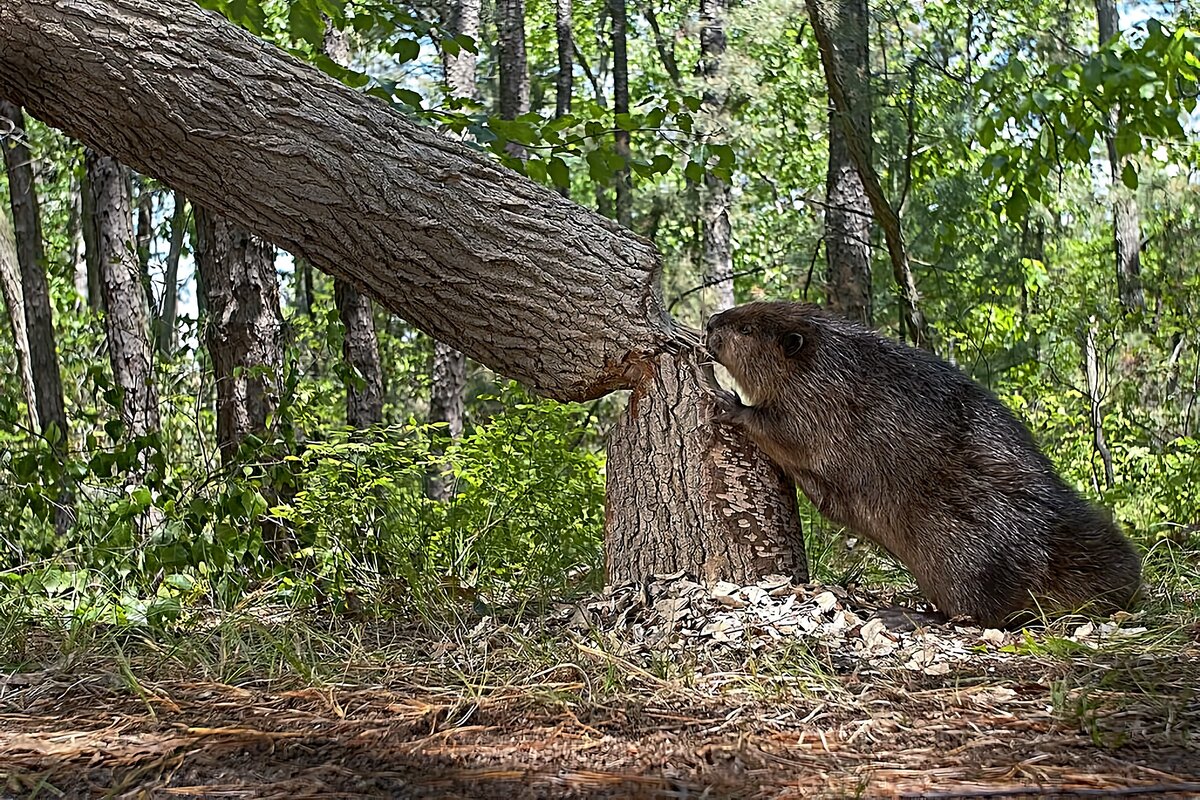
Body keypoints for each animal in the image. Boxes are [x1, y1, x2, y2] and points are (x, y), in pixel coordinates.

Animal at [700, 297, 1142, 628]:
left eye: (746, 329)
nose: (709, 323)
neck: (827, 360)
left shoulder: (820, 401)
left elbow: (786, 432)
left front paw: (728, 402)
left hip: (956, 551)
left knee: (978, 613)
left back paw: (902, 614)